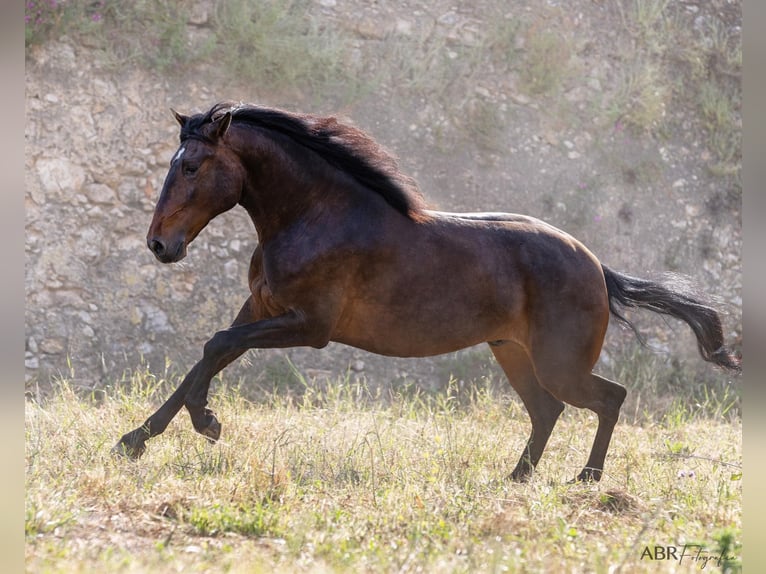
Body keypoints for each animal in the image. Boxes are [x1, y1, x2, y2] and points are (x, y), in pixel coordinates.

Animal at [111, 102, 740, 482]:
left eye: (192, 166)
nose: (159, 245)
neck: (315, 213)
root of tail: (597, 267)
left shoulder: (309, 325)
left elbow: (217, 346)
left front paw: (206, 423)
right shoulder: (262, 308)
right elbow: (209, 352)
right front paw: (137, 439)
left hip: (558, 361)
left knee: (607, 398)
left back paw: (584, 478)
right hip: (514, 353)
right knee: (548, 410)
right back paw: (517, 478)